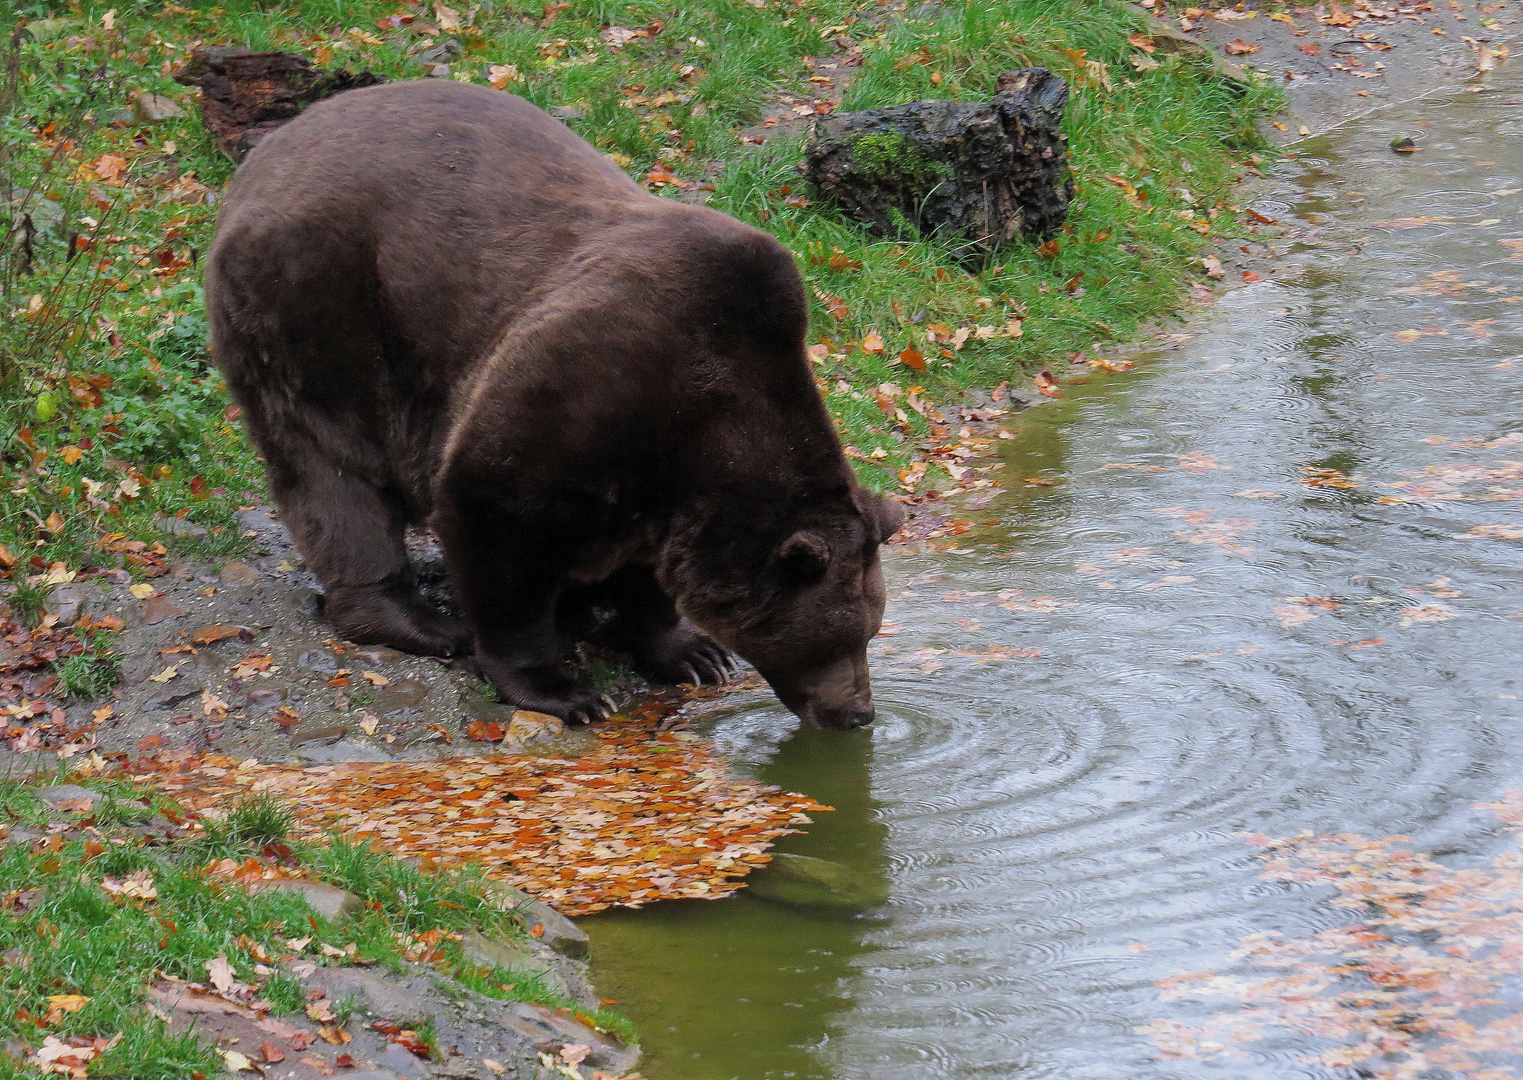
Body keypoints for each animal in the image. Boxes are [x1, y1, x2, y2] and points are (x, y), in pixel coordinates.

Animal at [210, 79, 901, 728]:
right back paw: (419, 620)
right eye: (835, 641)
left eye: (869, 632)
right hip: (317, 311)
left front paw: (694, 652)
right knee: (335, 473)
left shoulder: (663, 482)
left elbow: (649, 570)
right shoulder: (583, 390)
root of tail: (268, 153)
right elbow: (496, 528)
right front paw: (566, 691)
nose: (857, 712)